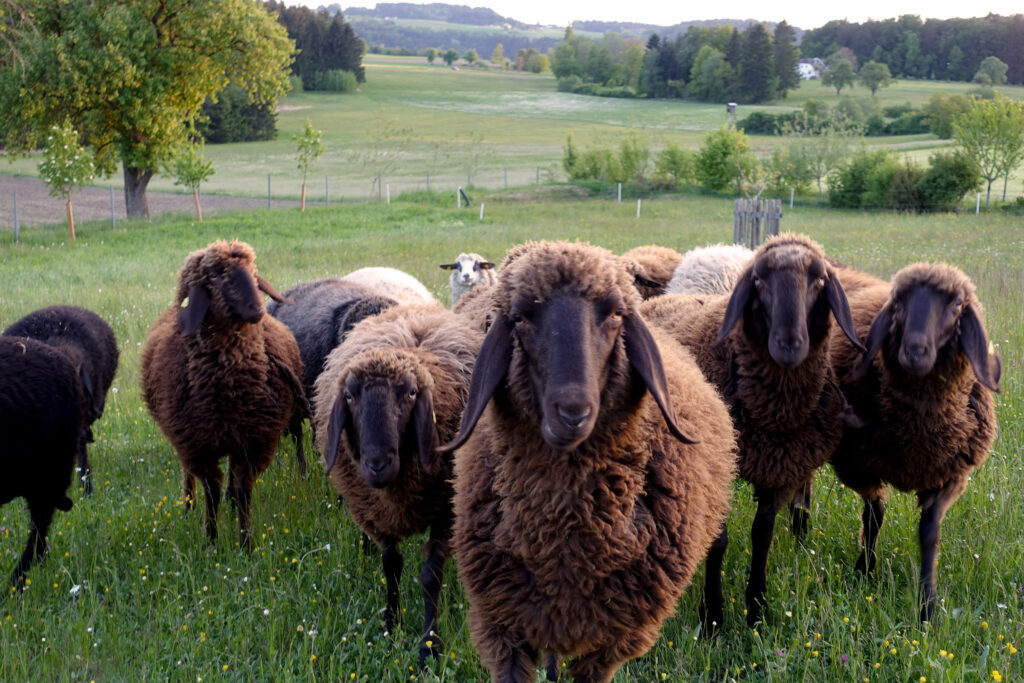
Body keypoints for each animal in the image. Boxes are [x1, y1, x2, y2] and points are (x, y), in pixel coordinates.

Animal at [140, 240, 307, 548]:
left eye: (254, 271)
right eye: (216, 276)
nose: (257, 309)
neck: (231, 391)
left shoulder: (254, 441)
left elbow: (243, 491)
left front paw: (246, 544)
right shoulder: (197, 445)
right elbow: (211, 492)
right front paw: (211, 540)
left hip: (233, 435)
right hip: (186, 437)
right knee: (188, 473)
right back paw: (188, 505)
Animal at [309, 305, 481, 667]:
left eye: (411, 393)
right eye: (349, 396)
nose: (377, 464)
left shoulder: (445, 510)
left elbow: (430, 575)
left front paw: (429, 645)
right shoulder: (375, 512)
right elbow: (391, 565)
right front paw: (391, 623)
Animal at [638, 233, 864, 626]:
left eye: (819, 280)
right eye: (758, 281)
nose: (789, 344)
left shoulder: (778, 464)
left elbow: (763, 535)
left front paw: (757, 606)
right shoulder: (718, 465)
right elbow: (718, 541)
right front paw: (713, 615)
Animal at [831, 264, 999, 622]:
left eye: (957, 304)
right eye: (898, 303)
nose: (914, 351)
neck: (919, 435)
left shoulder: (950, 476)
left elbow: (929, 533)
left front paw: (927, 608)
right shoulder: (859, 466)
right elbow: (874, 516)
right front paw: (864, 570)